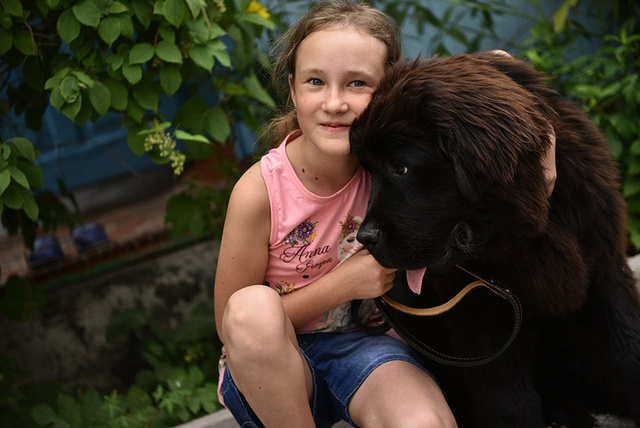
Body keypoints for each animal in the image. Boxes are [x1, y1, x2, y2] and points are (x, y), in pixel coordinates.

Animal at [350, 52, 640, 428]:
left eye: (401, 168)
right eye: (369, 171)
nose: (365, 237)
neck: (527, 231)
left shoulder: (605, 269)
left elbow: (625, 343)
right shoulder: (478, 309)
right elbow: (505, 389)